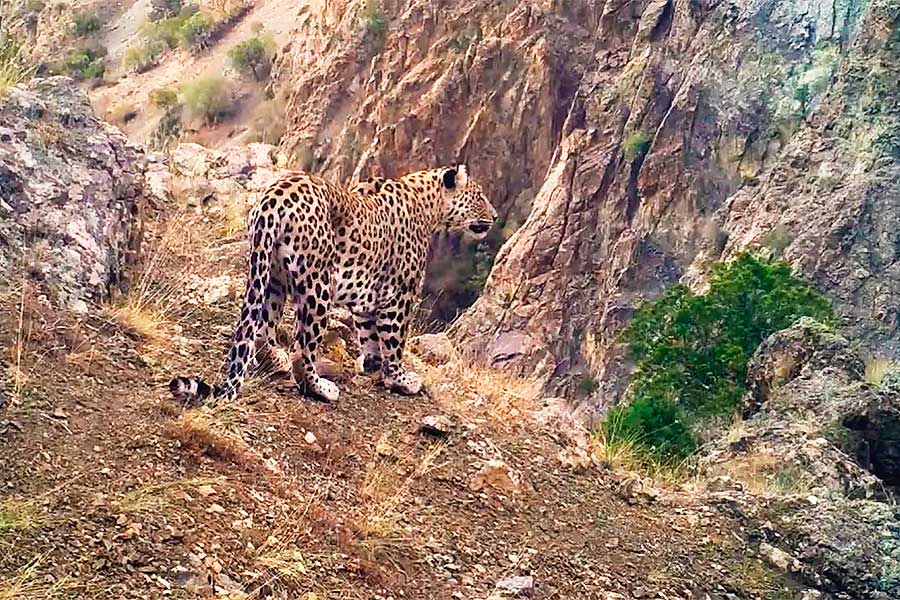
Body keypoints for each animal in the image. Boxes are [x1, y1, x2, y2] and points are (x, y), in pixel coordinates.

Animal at [169, 164, 496, 404]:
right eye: (479, 195)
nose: (494, 216)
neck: (429, 205)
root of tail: (274, 198)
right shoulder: (400, 295)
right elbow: (394, 342)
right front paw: (400, 378)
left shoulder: (371, 295)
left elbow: (368, 333)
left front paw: (372, 365)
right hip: (317, 287)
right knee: (303, 349)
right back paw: (320, 388)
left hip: (270, 276)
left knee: (261, 328)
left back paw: (275, 360)